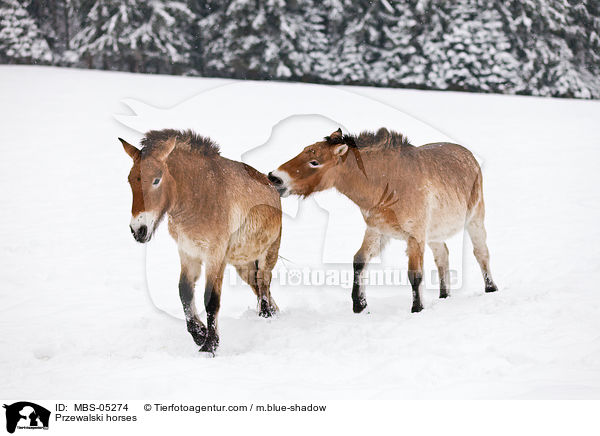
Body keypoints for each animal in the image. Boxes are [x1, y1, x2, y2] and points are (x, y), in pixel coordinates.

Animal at [122, 129, 284, 354]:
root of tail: (272, 189)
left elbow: (211, 299)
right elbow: (184, 291)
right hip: (243, 265)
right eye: (130, 180)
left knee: (264, 286)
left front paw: (210, 345)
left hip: (267, 256)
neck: (199, 196)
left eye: (156, 180)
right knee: (260, 289)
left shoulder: (215, 255)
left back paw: (267, 317)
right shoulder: (188, 252)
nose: (138, 230)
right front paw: (199, 333)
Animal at [270, 127, 500, 316]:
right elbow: (359, 260)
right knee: (443, 256)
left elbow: (414, 275)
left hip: (475, 220)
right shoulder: (377, 230)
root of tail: (468, 155)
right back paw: (445, 296)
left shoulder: (415, 236)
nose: (274, 178)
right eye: (303, 151)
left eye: (315, 162)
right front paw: (359, 305)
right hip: (435, 233)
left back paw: (491, 289)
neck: (387, 184)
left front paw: (417, 308)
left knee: (481, 253)